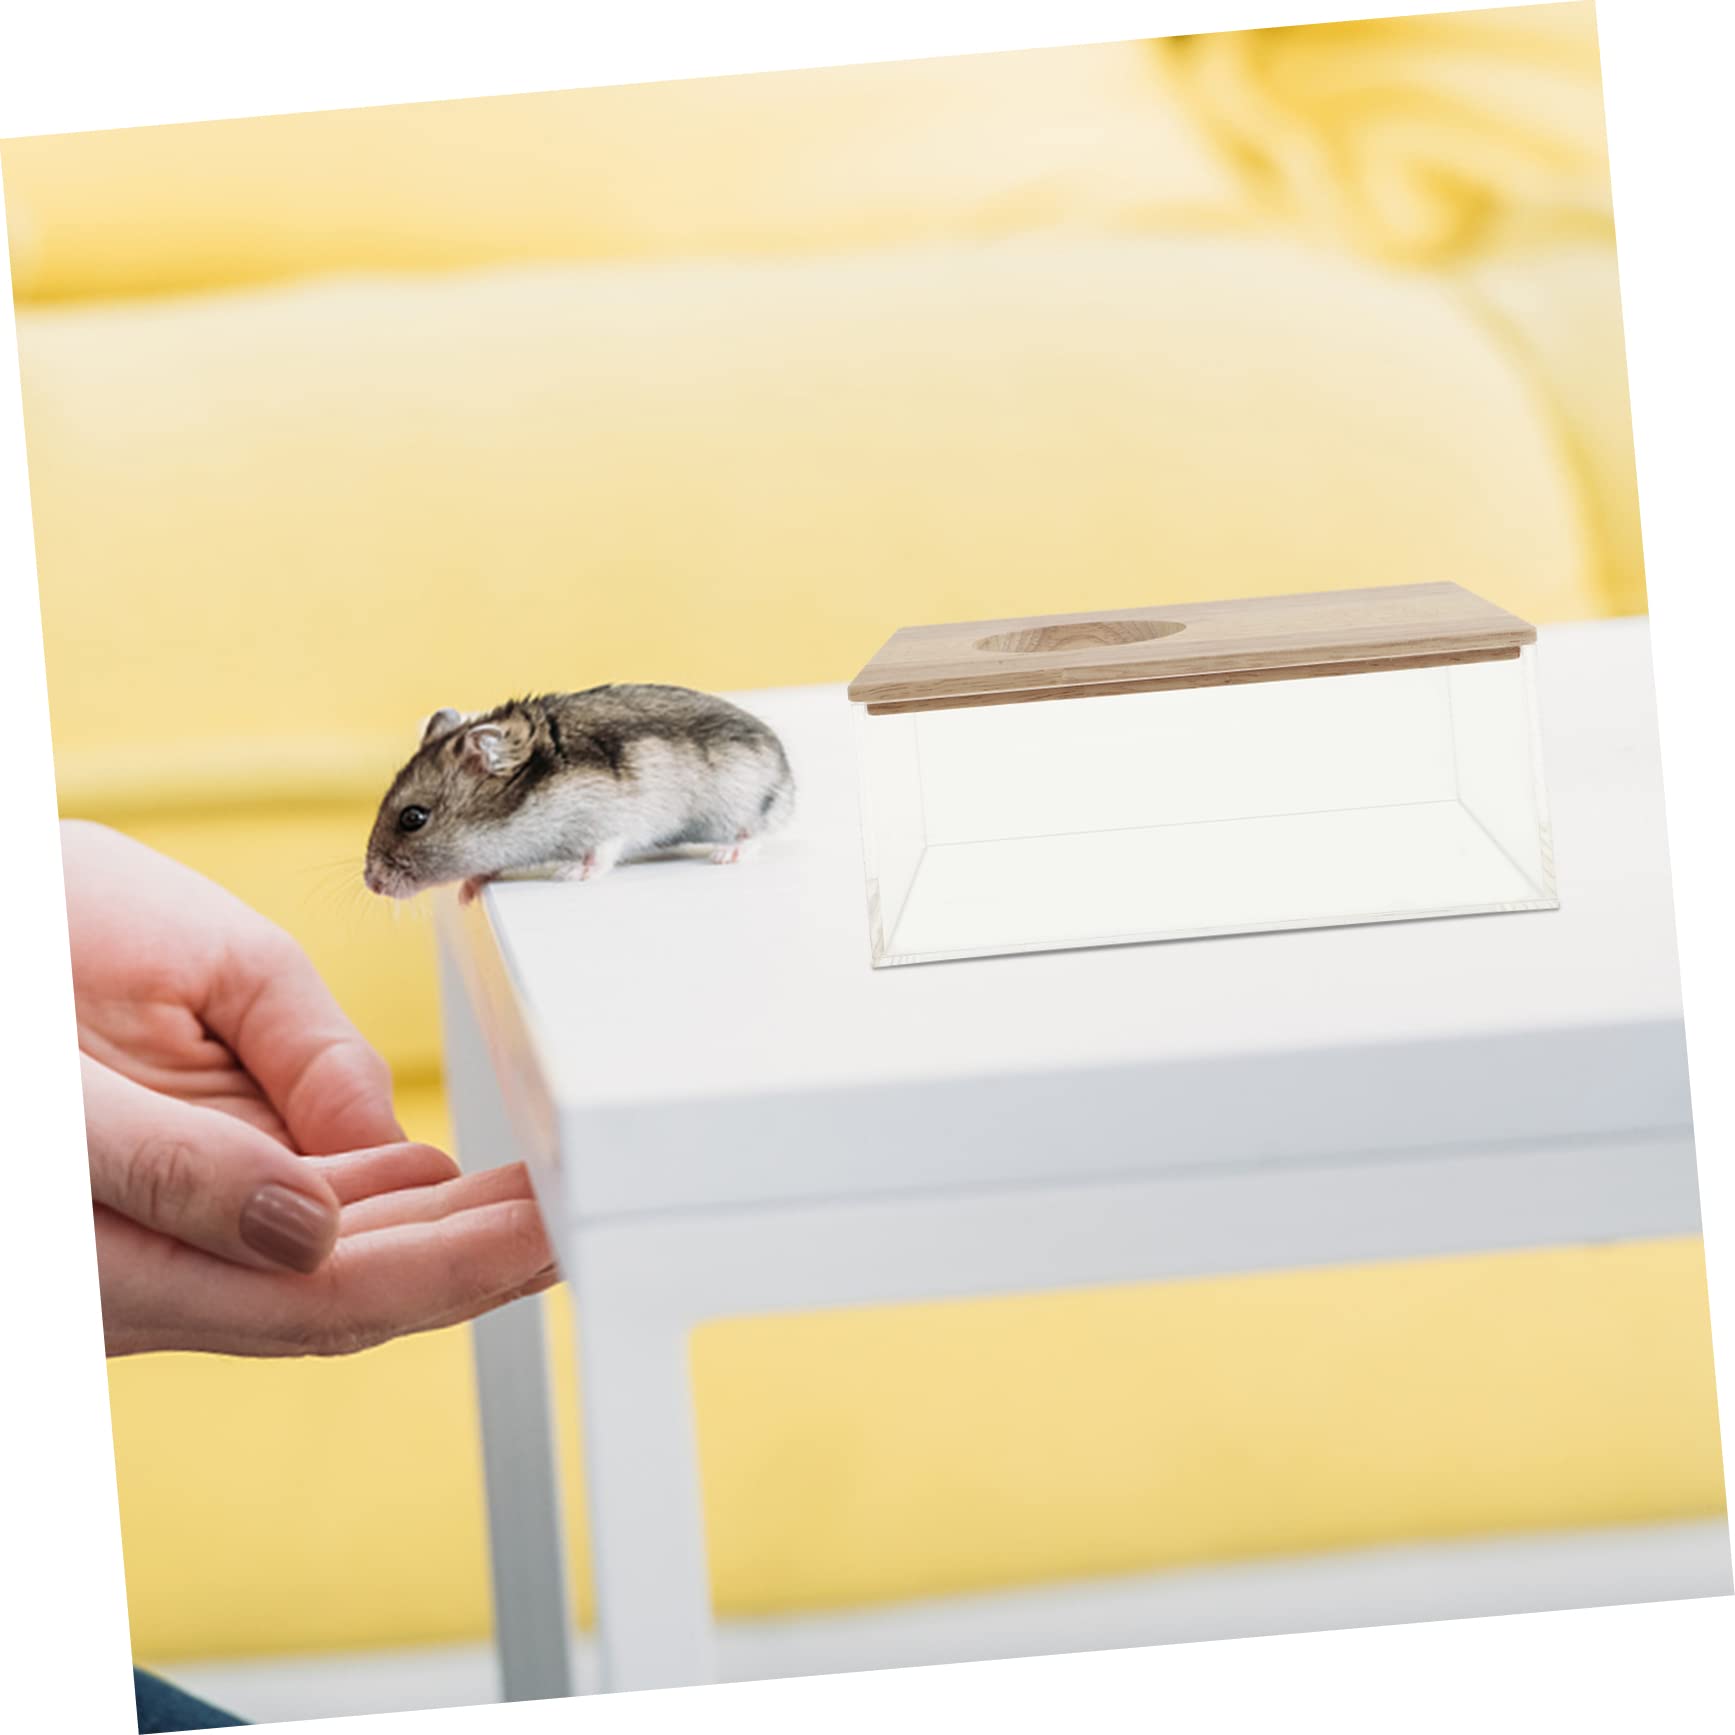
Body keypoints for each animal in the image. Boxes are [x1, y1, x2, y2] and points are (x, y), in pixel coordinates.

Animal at [363, 684, 795, 905]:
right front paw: (468, 891)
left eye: (413, 818)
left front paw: (569, 874)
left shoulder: (611, 823)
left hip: (741, 803)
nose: (372, 884)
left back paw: (726, 854)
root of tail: (788, 779)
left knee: (755, 832)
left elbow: (600, 855)